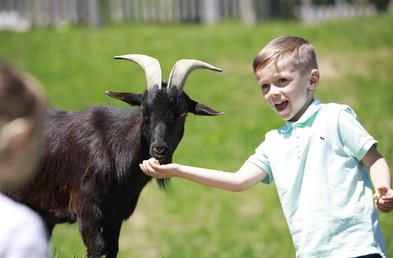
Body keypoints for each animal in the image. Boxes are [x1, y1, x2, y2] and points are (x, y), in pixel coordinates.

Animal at [6, 55, 220, 258]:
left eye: (182, 113)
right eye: (143, 110)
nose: (159, 150)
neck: (114, 152)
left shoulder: (115, 215)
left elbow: (113, 249)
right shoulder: (86, 209)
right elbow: (98, 248)